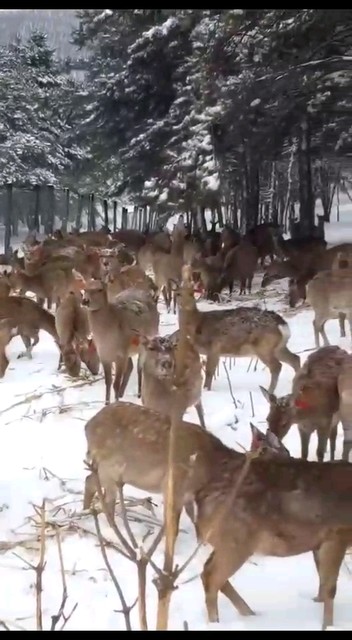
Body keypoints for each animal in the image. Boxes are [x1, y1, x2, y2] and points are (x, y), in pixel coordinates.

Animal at [75, 272, 161, 402]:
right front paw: (107, 403)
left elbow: (116, 383)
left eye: (100, 289)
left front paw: (115, 402)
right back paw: (122, 393)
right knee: (131, 366)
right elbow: (108, 382)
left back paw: (139, 394)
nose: (85, 301)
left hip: (147, 341)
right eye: (84, 289)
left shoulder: (121, 354)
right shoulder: (105, 356)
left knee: (139, 367)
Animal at [175, 264, 298, 396]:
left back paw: (269, 391)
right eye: (177, 294)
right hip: (279, 347)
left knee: (277, 366)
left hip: (264, 346)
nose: (185, 305)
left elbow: (209, 371)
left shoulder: (214, 346)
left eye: (192, 294)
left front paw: (206, 389)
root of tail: (282, 324)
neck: (197, 323)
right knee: (295, 359)